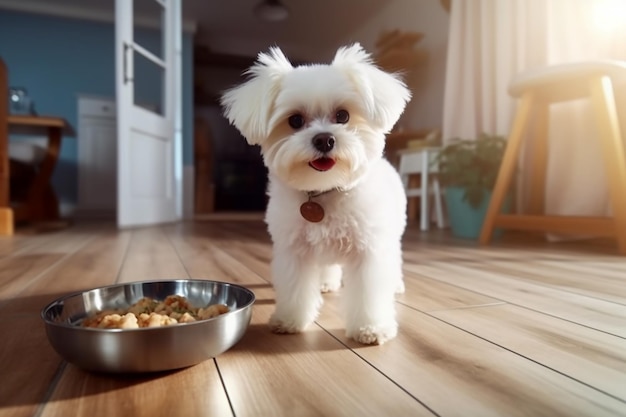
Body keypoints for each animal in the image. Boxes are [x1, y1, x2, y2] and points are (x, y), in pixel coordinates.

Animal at [219, 44, 410, 344]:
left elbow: (369, 293)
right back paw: (326, 282)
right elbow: (296, 289)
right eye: (295, 120)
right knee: (330, 266)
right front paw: (290, 320)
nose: (324, 139)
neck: (324, 191)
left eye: (343, 116)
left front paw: (371, 327)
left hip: (391, 236)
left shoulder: (369, 250)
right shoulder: (294, 251)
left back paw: (396, 284)